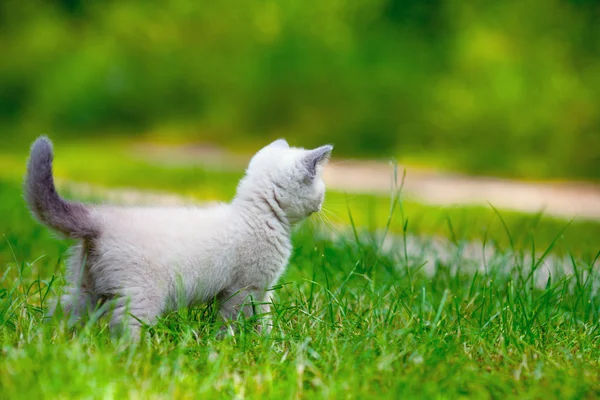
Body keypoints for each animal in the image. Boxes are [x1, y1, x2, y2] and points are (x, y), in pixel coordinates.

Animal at [24, 137, 332, 338]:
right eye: (321, 189)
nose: (321, 205)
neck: (257, 214)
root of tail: (99, 219)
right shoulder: (246, 288)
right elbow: (238, 320)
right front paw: (238, 345)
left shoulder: (255, 290)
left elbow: (260, 318)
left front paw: (266, 343)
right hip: (142, 294)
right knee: (124, 327)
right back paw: (134, 359)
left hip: (88, 289)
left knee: (62, 311)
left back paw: (49, 343)